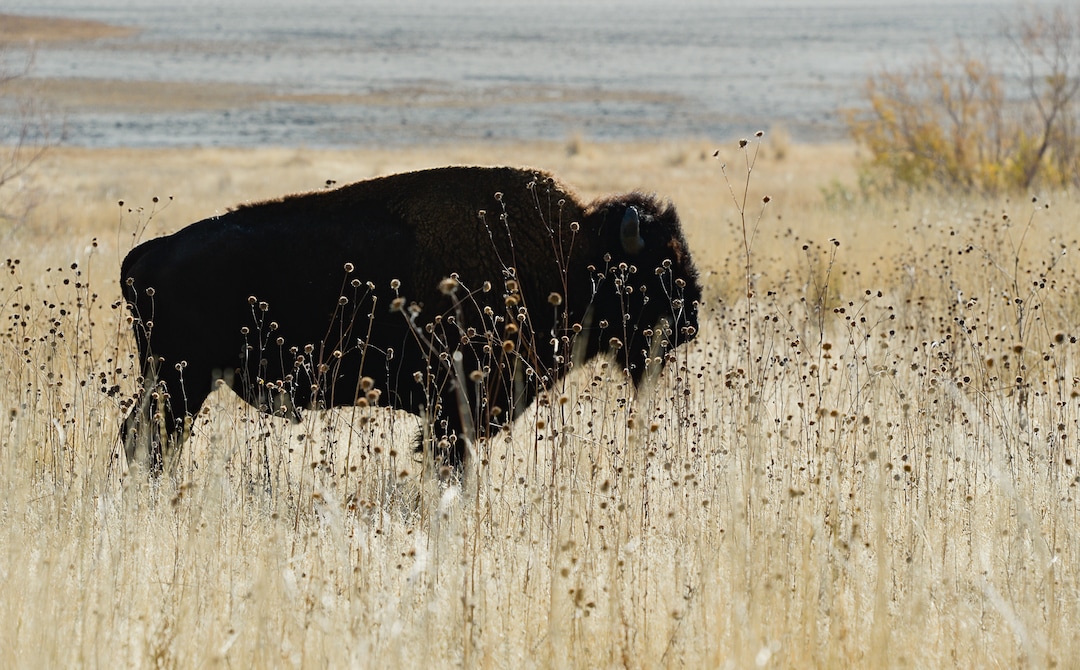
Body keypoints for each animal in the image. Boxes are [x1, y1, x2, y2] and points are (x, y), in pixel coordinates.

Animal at [121, 166, 701, 471]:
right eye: (656, 269)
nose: (689, 319)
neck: (572, 255)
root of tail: (144, 257)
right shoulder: (457, 404)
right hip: (180, 383)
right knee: (145, 436)